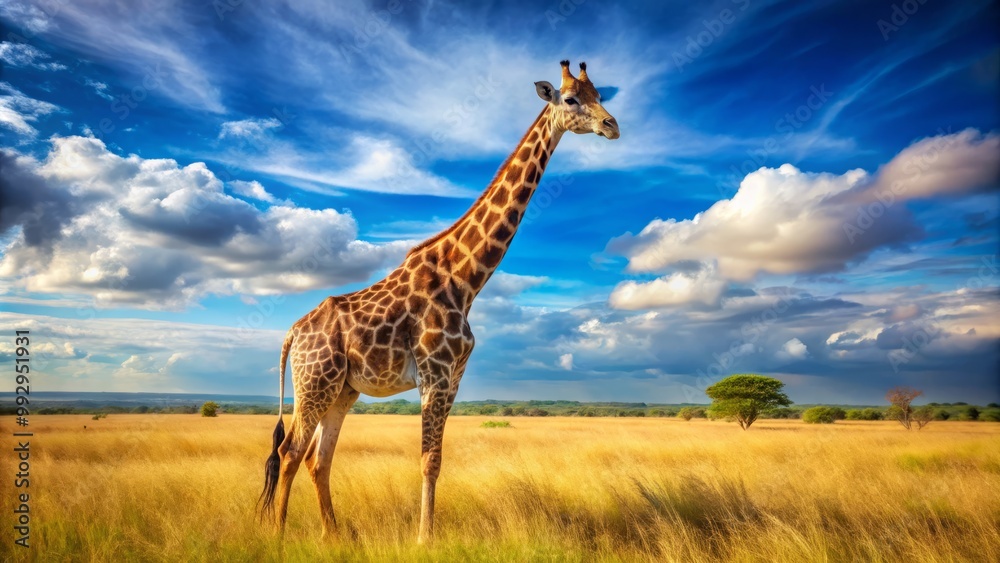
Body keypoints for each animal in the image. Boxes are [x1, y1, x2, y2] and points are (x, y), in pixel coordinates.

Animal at [258, 60, 620, 543]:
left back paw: (333, 535)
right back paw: (278, 535)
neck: (466, 280)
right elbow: (428, 460)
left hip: (342, 390)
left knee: (318, 458)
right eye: (570, 99)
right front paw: (423, 538)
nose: (612, 125)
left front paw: (426, 532)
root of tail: (293, 332)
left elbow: (438, 460)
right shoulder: (434, 372)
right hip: (314, 382)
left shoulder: (454, 377)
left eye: (600, 95)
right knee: (291, 450)